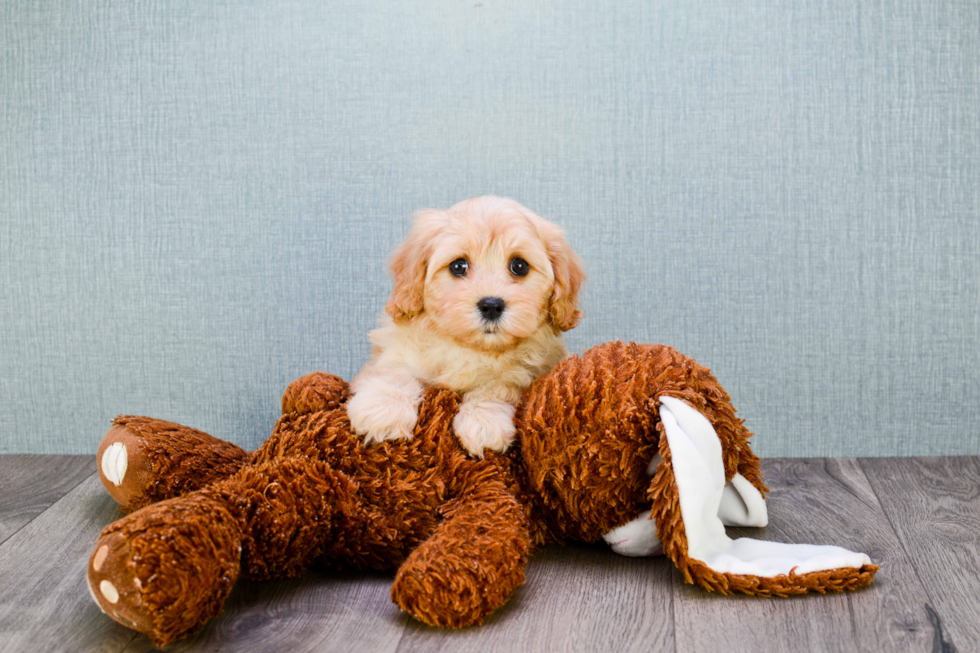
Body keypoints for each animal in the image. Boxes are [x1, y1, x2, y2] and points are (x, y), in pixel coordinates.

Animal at [348, 196, 584, 456]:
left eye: (519, 266)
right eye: (458, 266)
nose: (491, 305)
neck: (471, 348)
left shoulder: (527, 372)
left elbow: (498, 386)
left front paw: (485, 422)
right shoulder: (393, 350)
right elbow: (393, 372)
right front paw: (383, 409)